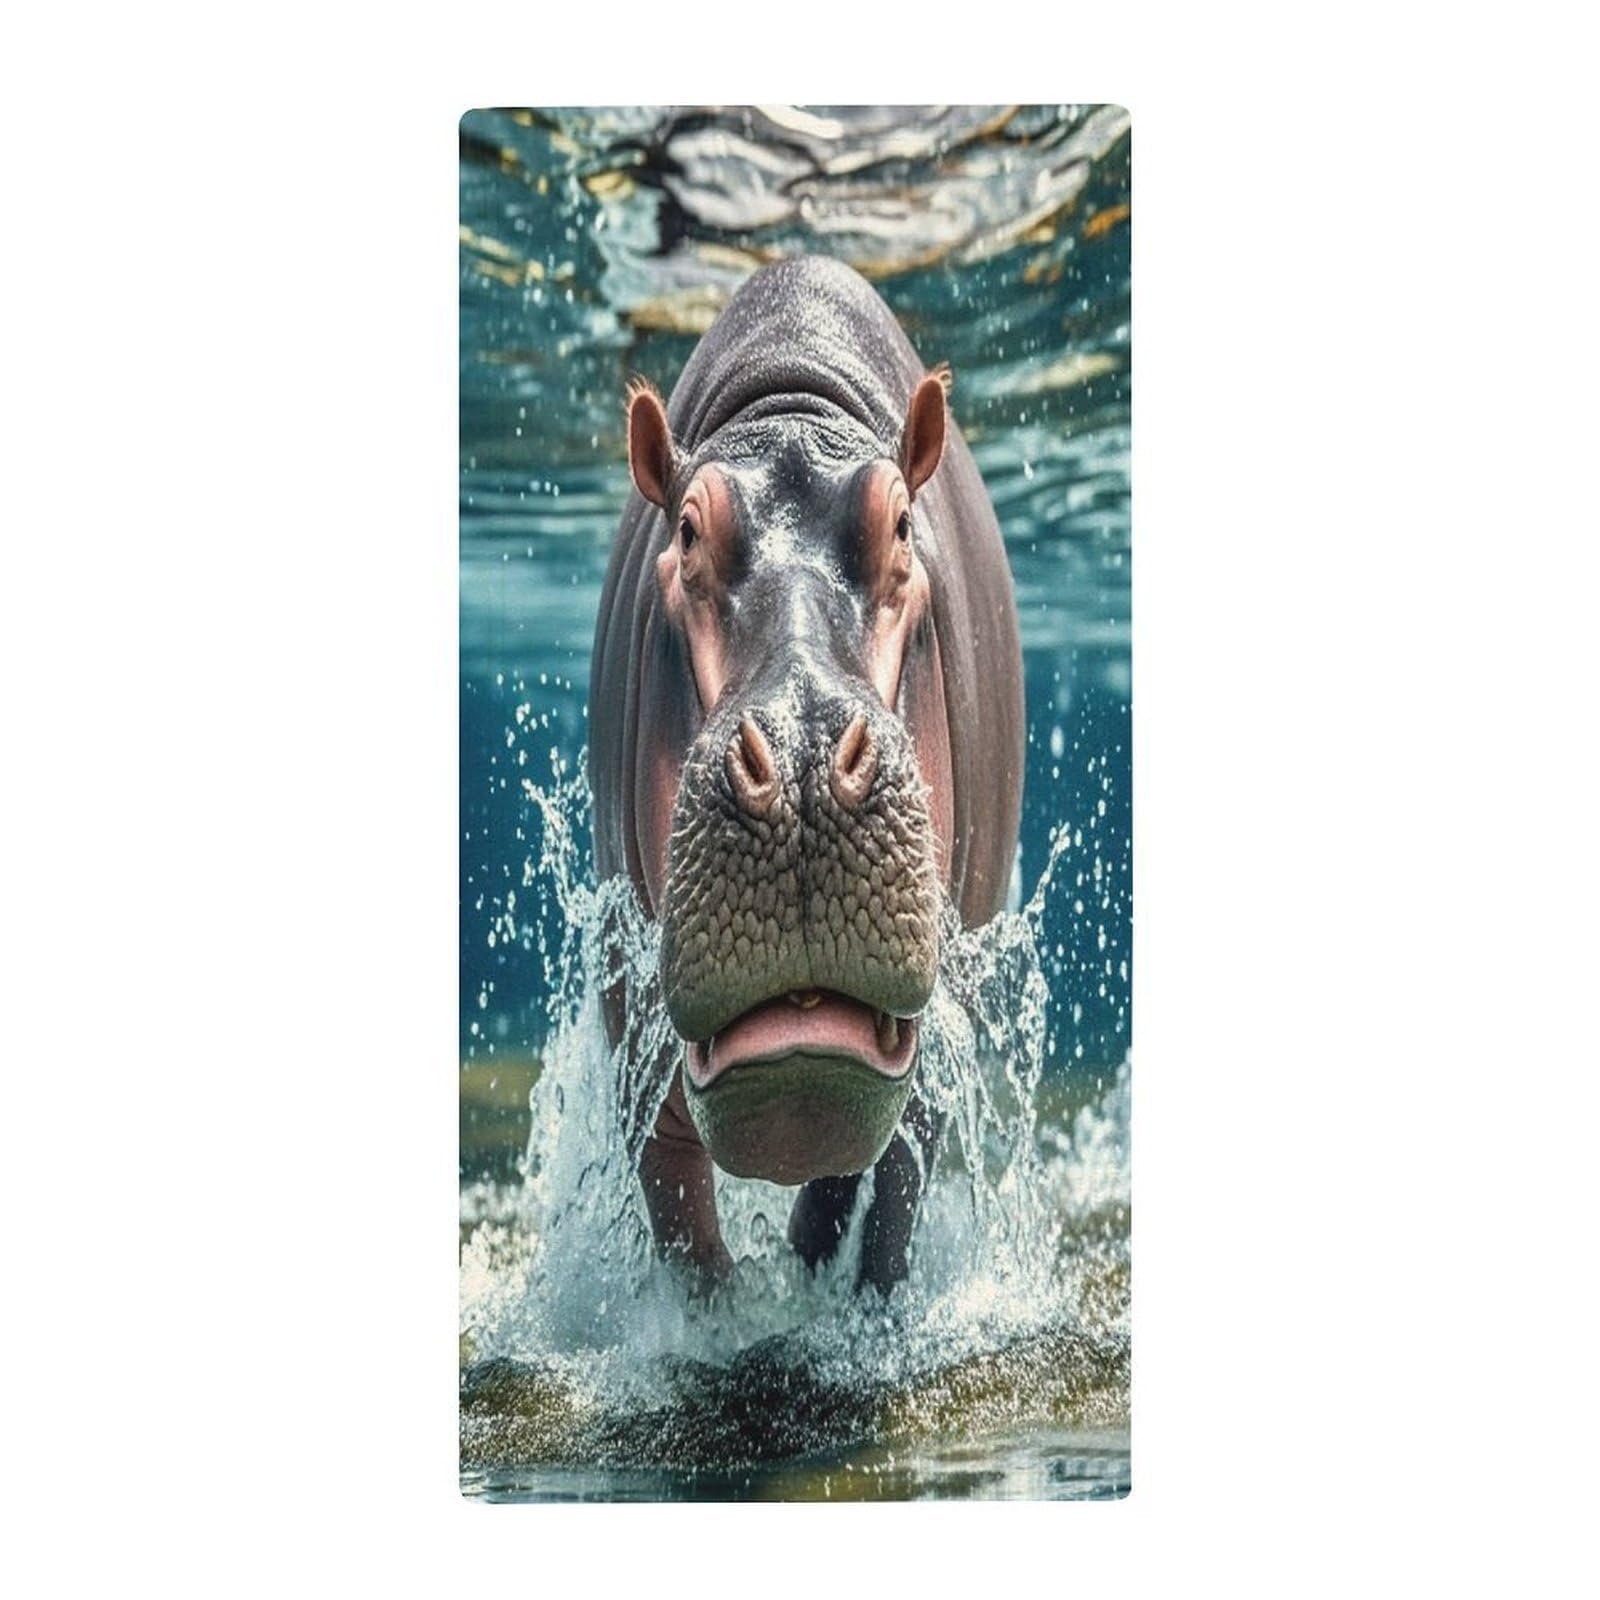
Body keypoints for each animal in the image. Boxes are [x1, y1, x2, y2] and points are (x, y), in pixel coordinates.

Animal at [588, 255, 1024, 1292]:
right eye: (685, 535)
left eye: (901, 525)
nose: (801, 756)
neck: (789, 406)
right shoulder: (633, 1036)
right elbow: (682, 1221)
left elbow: (883, 1197)